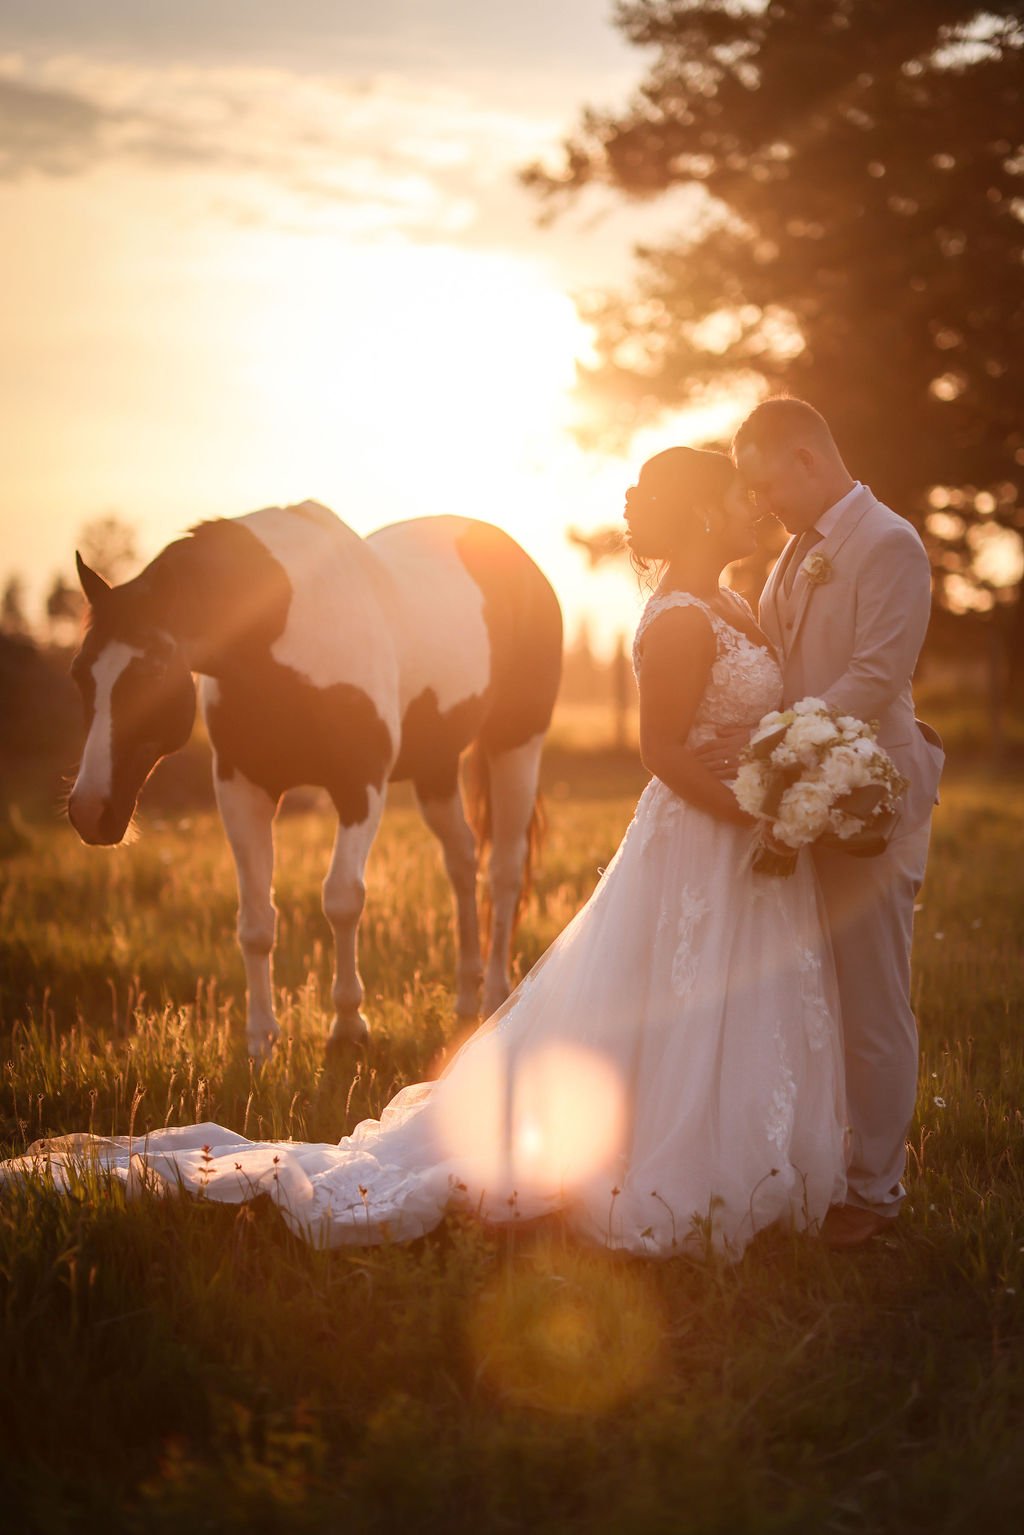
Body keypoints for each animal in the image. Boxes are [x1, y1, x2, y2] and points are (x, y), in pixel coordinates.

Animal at [67, 503, 564, 1056]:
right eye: (79, 673)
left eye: (152, 672)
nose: (90, 811)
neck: (282, 626)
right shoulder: (243, 788)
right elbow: (255, 920)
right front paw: (260, 1039)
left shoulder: (359, 786)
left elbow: (343, 899)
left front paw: (348, 1024)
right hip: (435, 768)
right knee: (463, 860)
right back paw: (468, 998)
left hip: (515, 745)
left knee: (504, 870)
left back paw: (498, 997)